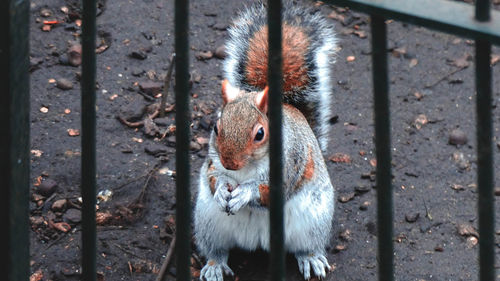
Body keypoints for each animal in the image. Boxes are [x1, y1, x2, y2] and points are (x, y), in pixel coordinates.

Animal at [193, 1, 338, 278]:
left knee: (305, 246)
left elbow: (270, 191)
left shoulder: (291, 163)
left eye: (260, 134)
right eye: (216, 127)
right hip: (208, 222)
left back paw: (311, 258)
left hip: (313, 221)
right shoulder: (212, 161)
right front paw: (223, 188)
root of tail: (258, 242)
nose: (230, 164)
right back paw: (215, 266)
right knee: (216, 249)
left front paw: (245, 192)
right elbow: (213, 176)